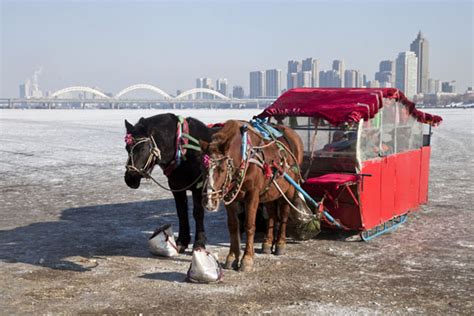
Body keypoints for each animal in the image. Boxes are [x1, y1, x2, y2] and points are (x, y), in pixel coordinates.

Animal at [124, 113, 217, 252]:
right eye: (126, 148)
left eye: (143, 148)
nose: (130, 179)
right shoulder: (176, 187)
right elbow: (181, 212)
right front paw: (182, 241)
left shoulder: (199, 187)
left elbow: (198, 213)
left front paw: (199, 242)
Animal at [200, 119, 304, 272]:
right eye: (204, 168)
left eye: (222, 169)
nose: (209, 201)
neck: (244, 157)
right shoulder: (229, 198)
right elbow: (233, 226)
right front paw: (232, 257)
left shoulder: (252, 195)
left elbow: (249, 225)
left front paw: (247, 259)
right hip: (270, 191)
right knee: (272, 215)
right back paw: (268, 243)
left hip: (289, 189)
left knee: (284, 215)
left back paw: (280, 244)